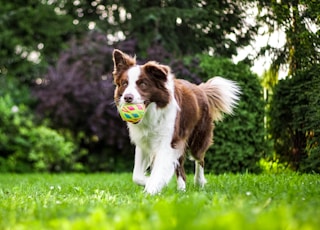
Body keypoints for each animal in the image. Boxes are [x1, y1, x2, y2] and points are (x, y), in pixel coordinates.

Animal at [112, 49, 240, 195]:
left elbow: (159, 170)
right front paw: (150, 182)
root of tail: (201, 89)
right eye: (124, 83)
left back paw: (199, 182)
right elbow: (136, 176)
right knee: (181, 168)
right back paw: (181, 189)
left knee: (199, 158)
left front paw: (151, 190)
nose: (127, 97)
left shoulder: (168, 142)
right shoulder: (144, 142)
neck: (151, 114)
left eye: (143, 84)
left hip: (198, 138)